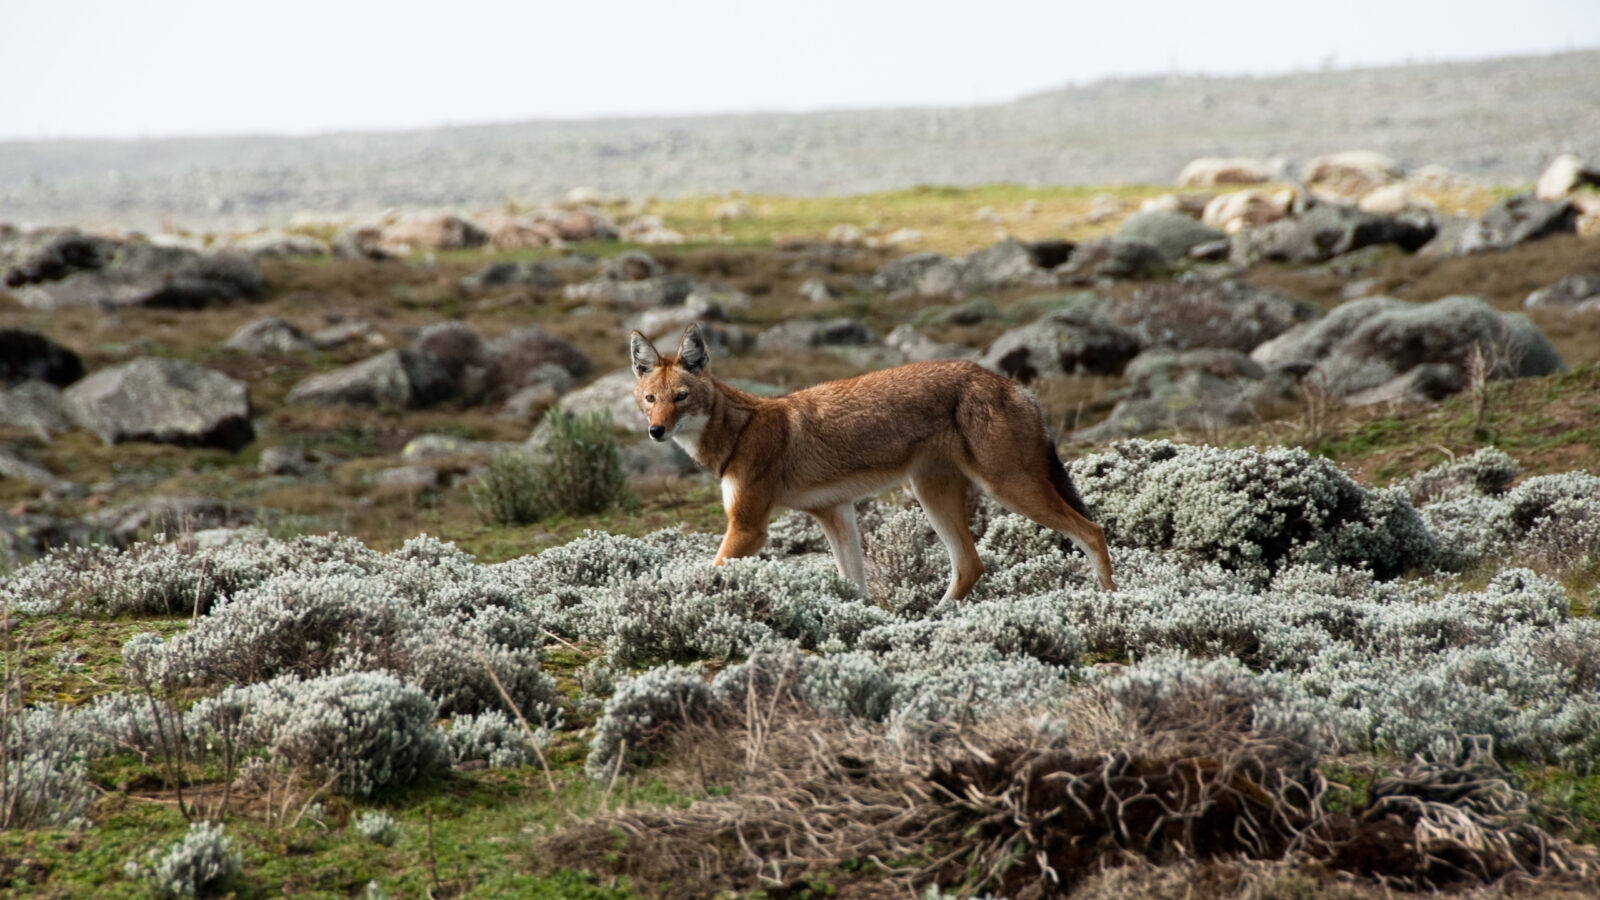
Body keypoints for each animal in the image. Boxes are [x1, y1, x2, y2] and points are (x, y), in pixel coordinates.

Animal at [630, 324, 1115, 601]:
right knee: (971, 565)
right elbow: (855, 586)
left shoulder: (749, 527)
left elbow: (709, 572)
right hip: (933, 495)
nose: (656, 431)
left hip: (1009, 490)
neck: (739, 431)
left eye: (681, 397)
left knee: (1092, 530)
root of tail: (1013, 385)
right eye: (651, 400)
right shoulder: (835, 512)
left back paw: (1111, 605)